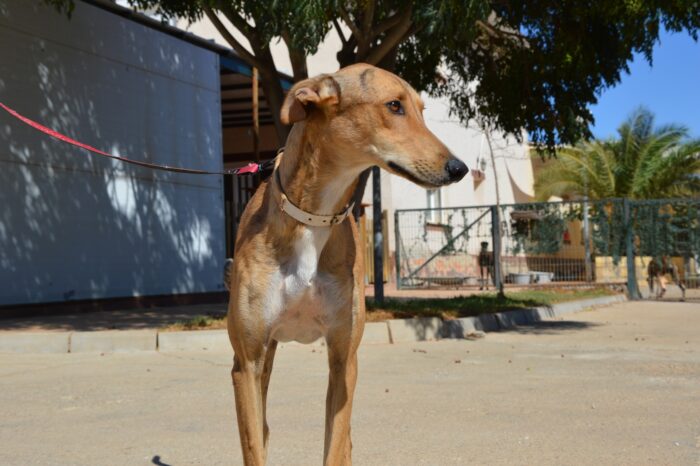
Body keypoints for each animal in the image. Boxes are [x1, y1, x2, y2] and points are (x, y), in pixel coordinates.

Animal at [223, 63, 468, 465]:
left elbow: (335, 445)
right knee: (263, 428)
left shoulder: (344, 359)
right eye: (394, 105)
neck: (312, 218)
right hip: (263, 359)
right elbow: (254, 445)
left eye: (421, 109)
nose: (458, 167)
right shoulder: (247, 361)